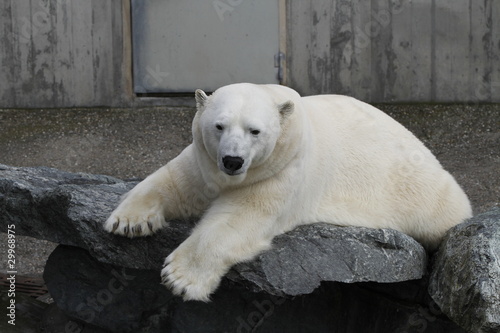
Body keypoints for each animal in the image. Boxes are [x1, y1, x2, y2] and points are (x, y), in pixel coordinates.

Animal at [103, 83, 470, 300]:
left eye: (255, 131)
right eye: (219, 126)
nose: (233, 160)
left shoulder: (282, 171)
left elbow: (238, 220)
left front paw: (180, 277)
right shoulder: (205, 159)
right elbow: (174, 182)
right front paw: (128, 222)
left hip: (416, 187)